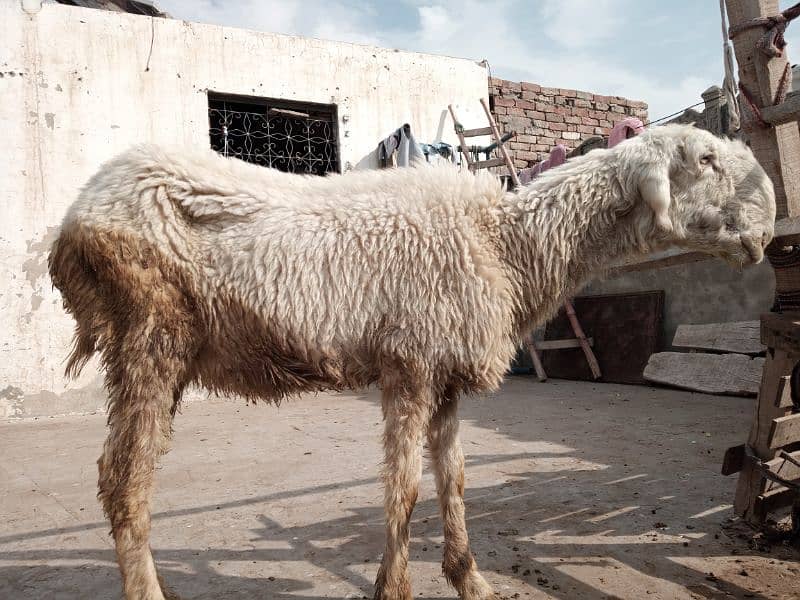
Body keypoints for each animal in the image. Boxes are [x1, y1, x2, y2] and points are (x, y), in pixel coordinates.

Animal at [48, 123, 776, 600]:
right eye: (706, 157)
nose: (768, 222)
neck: (504, 243)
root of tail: (74, 217)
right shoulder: (412, 365)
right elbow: (404, 490)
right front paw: (394, 587)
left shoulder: (446, 376)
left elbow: (453, 481)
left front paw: (470, 579)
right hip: (150, 330)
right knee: (123, 482)